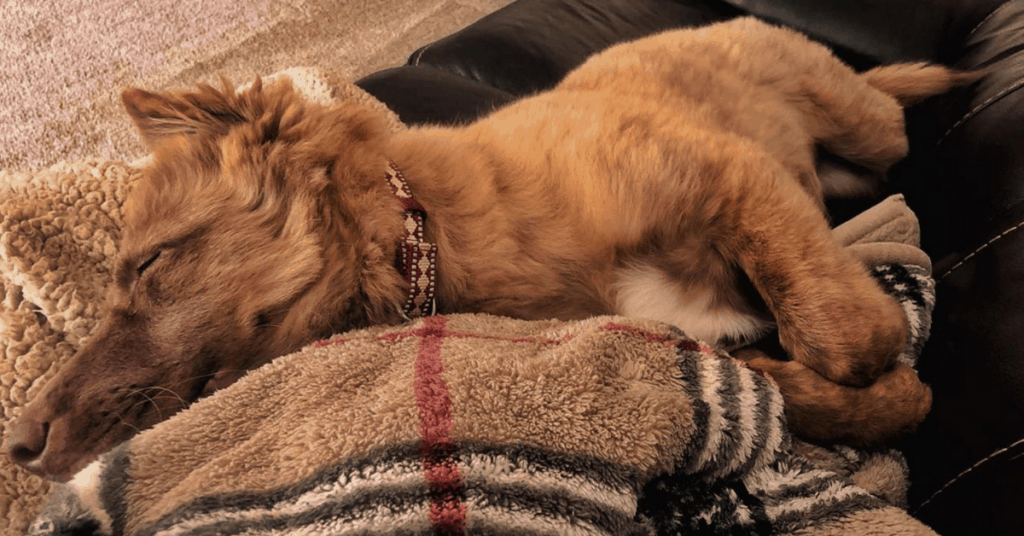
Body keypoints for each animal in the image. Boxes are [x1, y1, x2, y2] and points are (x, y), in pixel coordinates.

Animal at [2, 18, 974, 479]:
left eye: (150, 266)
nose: (20, 445)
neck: (426, 230)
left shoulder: (724, 170)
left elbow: (847, 338)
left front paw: (871, 366)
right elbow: (779, 372)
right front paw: (825, 388)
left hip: (870, 129)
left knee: (888, 105)